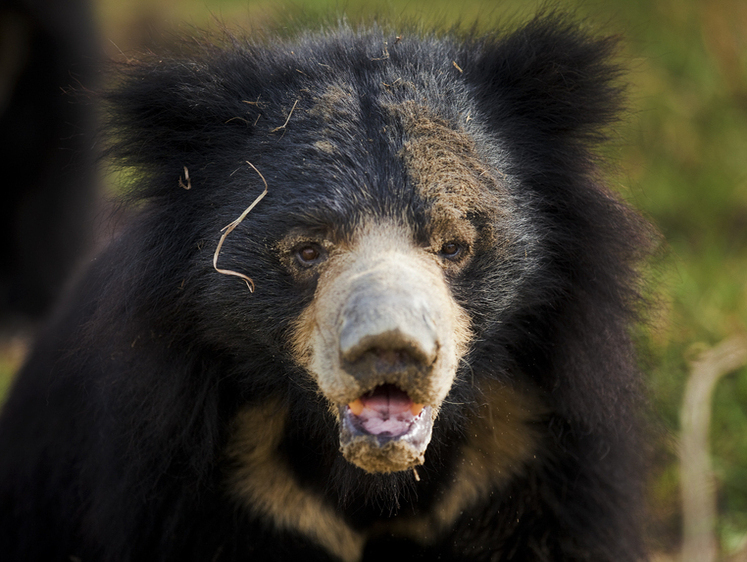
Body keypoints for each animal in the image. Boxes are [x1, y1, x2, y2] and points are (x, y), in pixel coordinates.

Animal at [0, 13, 652, 560]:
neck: (372, 480)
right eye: (308, 250)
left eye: (453, 245)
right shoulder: (187, 472)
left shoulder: (529, 458)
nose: (390, 350)